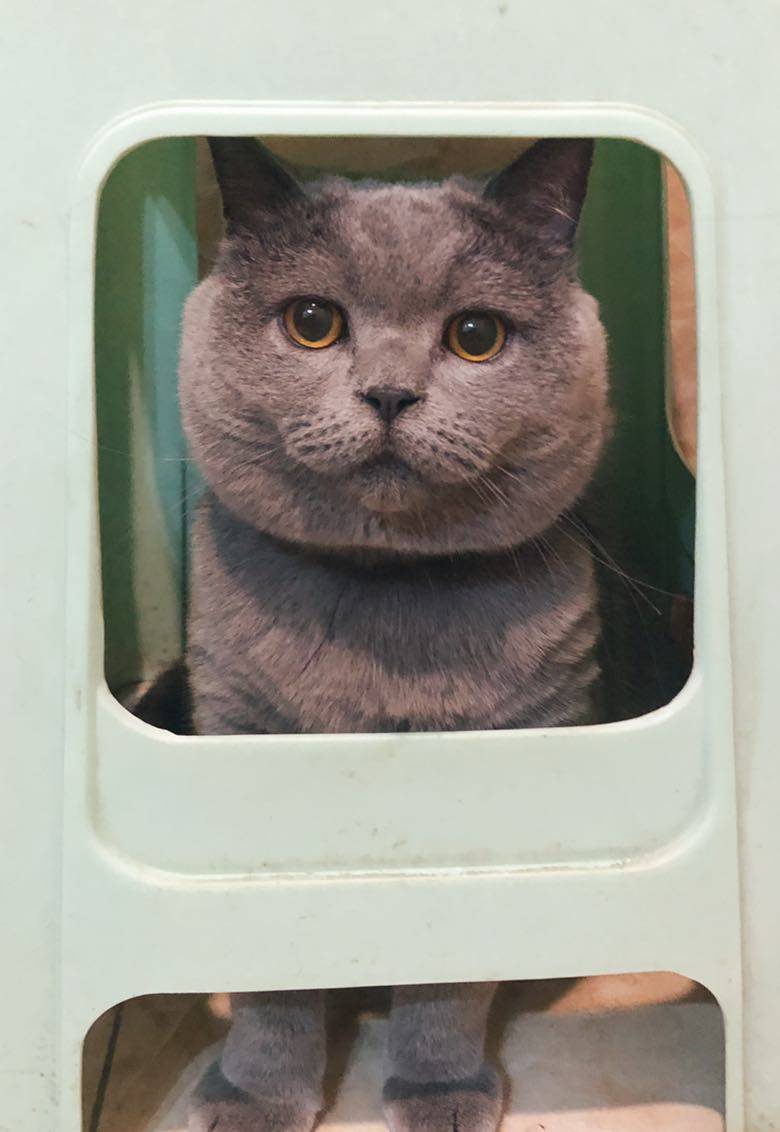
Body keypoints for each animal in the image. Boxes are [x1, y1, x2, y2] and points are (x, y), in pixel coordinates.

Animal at [179, 135, 609, 1132]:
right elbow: (269, 984)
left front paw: (439, 1091)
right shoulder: (239, 729)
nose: (388, 393)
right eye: (311, 322)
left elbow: (447, 983)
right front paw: (254, 1097)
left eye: (476, 335)